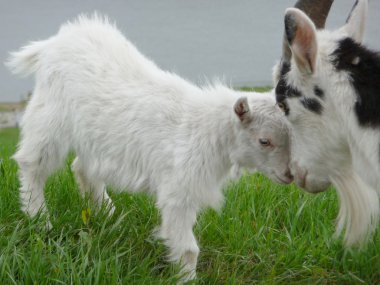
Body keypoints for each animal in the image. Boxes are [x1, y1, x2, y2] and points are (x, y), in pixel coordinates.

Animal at [7, 14, 292, 278]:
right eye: (264, 140)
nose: (289, 175)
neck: (207, 129)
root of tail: (53, 43)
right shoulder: (179, 191)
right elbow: (188, 249)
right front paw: (187, 279)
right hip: (50, 116)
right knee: (32, 163)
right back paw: (39, 219)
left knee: (82, 167)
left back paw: (108, 214)